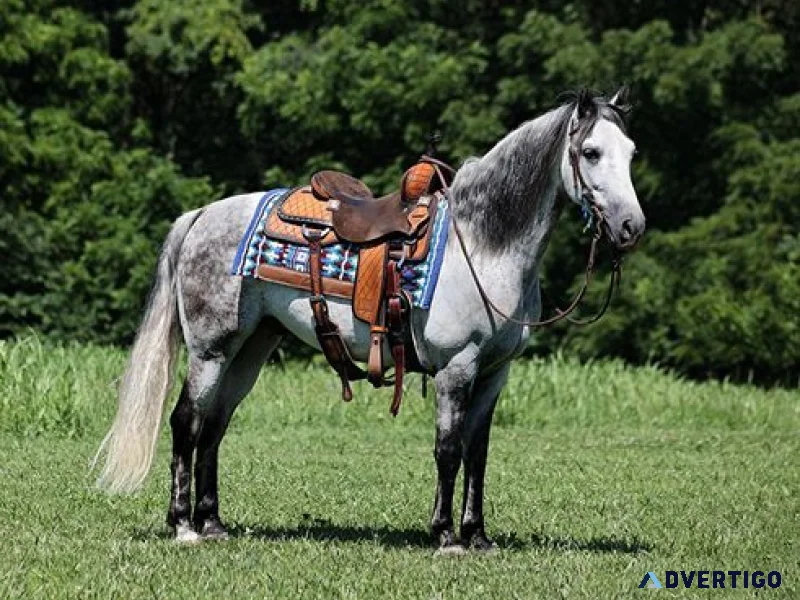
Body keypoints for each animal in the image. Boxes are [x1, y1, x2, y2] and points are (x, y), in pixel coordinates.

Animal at [95, 88, 645, 553]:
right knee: (186, 421)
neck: (482, 245)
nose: (630, 227)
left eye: (632, 152)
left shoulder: (495, 372)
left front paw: (479, 536)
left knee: (214, 425)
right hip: (211, 349)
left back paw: (212, 523)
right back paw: (183, 525)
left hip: (251, 349)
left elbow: (478, 454)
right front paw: (446, 536)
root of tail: (201, 215)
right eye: (591, 152)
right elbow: (448, 448)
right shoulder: (457, 367)